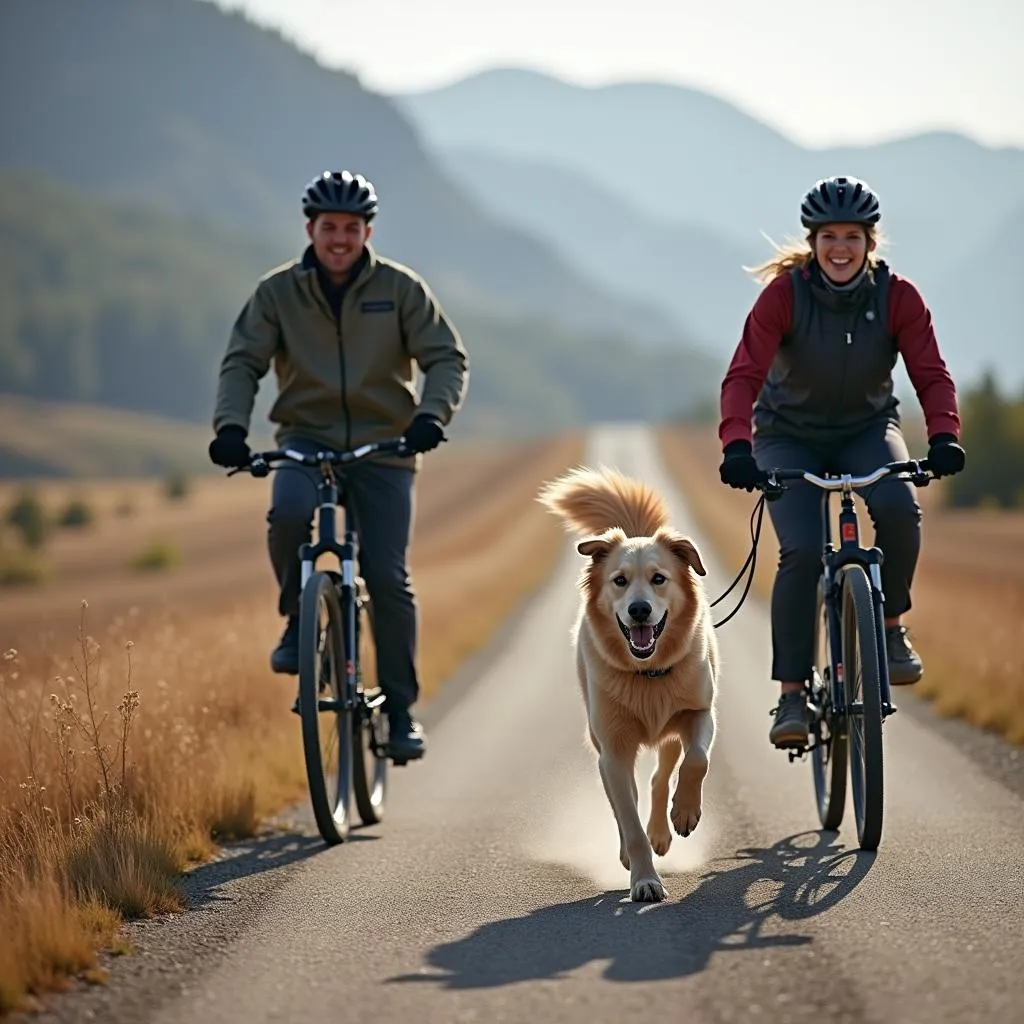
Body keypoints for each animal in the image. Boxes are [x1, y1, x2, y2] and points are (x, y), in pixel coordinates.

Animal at [536, 466, 720, 905]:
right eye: (619, 581)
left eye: (659, 579)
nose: (639, 610)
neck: (647, 672)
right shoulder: (615, 749)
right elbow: (629, 819)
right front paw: (644, 880)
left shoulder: (699, 712)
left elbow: (697, 760)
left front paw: (685, 813)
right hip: (602, 745)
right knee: (627, 801)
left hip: (670, 733)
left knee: (660, 776)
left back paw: (665, 829)